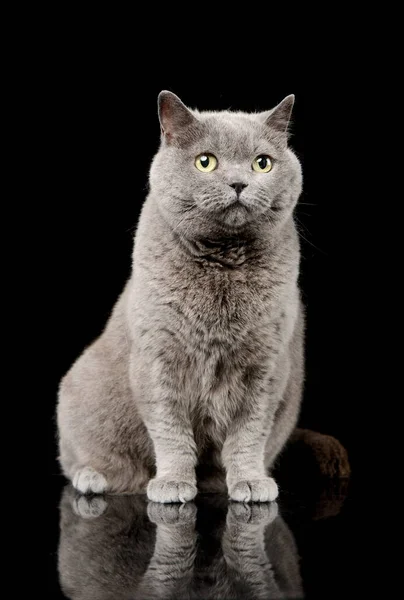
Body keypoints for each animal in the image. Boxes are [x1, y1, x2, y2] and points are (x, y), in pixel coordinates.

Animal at [56, 91, 304, 504]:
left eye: (262, 163)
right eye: (206, 161)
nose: (239, 183)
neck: (223, 265)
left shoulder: (266, 366)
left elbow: (249, 434)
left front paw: (250, 482)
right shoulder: (158, 358)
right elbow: (170, 430)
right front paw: (173, 484)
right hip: (77, 393)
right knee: (79, 459)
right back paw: (93, 479)